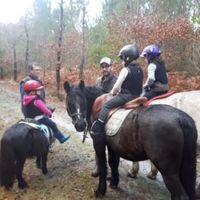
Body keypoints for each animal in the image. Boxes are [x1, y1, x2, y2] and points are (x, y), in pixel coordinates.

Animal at [63, 80, 197, 200]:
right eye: (69, 102)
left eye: (83, 100)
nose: (80, 125)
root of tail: (181, 118)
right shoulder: (112, 146)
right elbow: (113, 162)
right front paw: (114, 182)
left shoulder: (99, 143)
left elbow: (103, 165)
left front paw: (101, 190)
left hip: (169, 172)